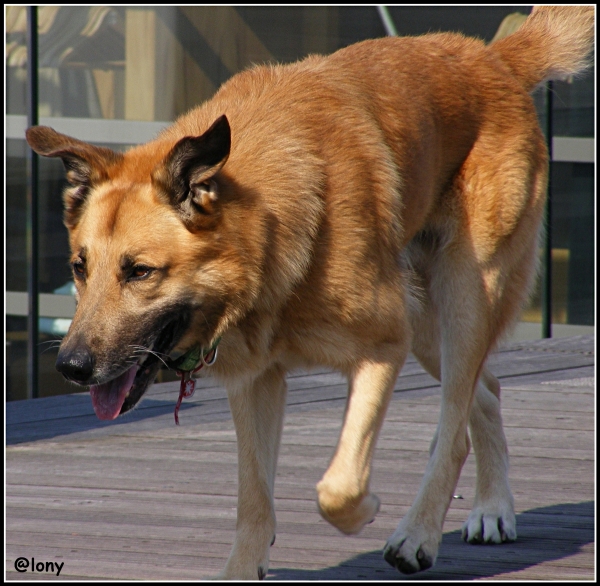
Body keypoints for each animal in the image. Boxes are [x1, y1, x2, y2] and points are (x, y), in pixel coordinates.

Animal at [25, 6, 592, 576]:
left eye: (140, 272)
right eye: (78, 268)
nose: (69, 367)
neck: (267, 231)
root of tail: (496, 58)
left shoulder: (383, 349)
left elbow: (338, 488)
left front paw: (366, 509)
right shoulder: (256, 380)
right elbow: (254, 497)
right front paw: (243, 567)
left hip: (463, 299)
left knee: (453, 430)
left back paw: (418, 533)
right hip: (430, 325)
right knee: (487, 391)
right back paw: (493, 508)